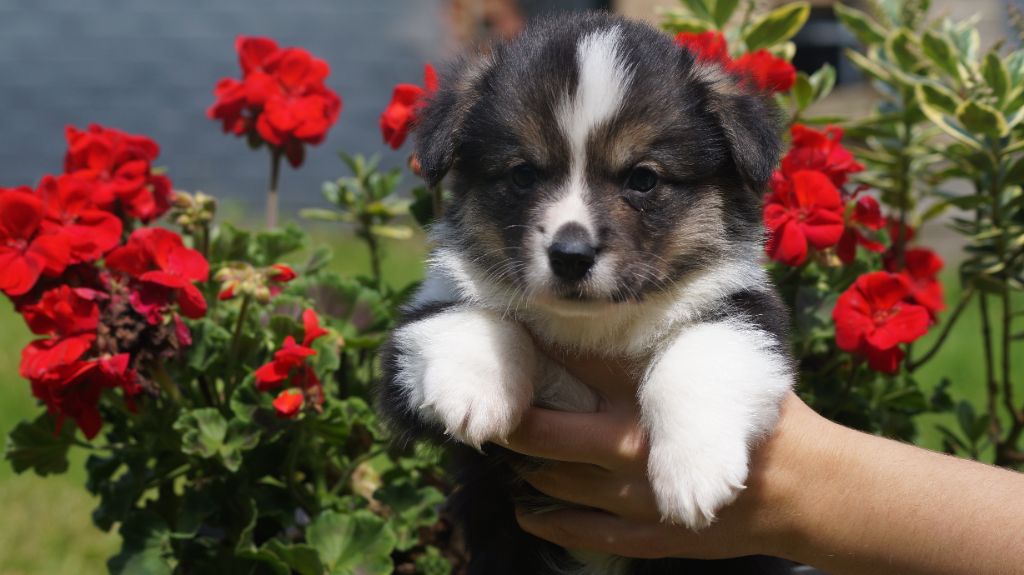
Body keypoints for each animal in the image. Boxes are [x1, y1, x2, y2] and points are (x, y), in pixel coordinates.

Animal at [380, 11, 794, 568]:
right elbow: (468, 317)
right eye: (523, 174)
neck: (592, 329)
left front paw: (694, 472)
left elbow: (700, 353)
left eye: (643, 179)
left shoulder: (749, 309)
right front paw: (474, 394)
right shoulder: (403, 362)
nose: (571, 256)